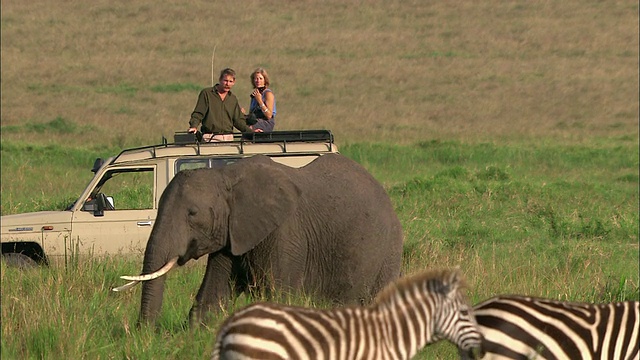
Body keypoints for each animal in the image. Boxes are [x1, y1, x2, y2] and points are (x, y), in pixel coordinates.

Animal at [114, 153, 402, 328]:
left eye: (192, 213)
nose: (145, 332)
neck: (227, 176)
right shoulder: (233, 234)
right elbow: (212, 297)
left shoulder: (286, 233)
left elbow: (278, 297)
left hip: (387, 252)